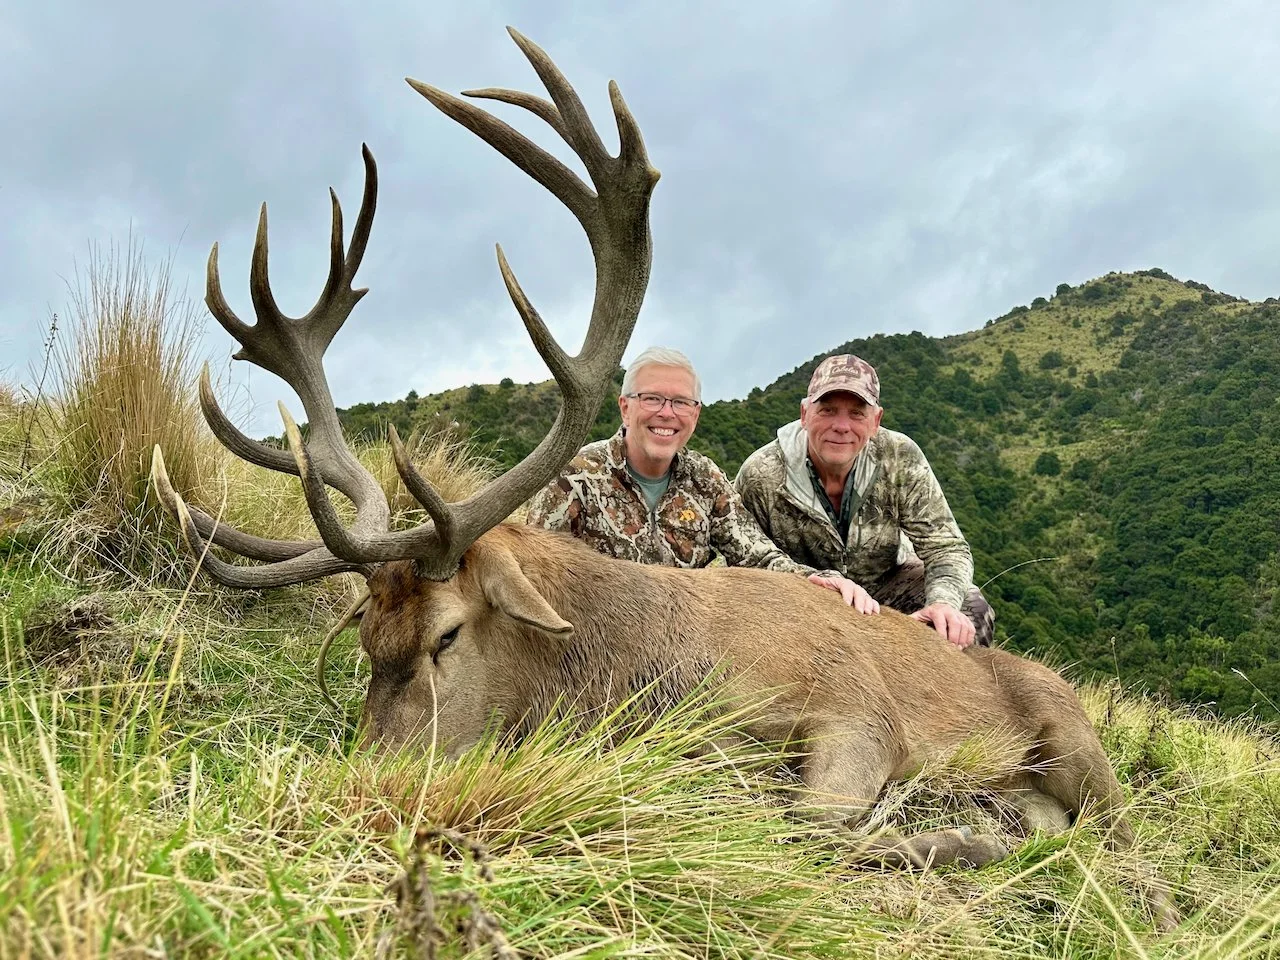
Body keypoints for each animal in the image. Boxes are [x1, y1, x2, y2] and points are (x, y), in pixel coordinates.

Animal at [149, 27, 1178, 932]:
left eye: (446, 636)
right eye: (367, 638)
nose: (367, 791)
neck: (647, 668)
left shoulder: (859, 717)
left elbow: (812, 826)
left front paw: (953, 841)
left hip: (1077, 739)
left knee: (1130, 844)